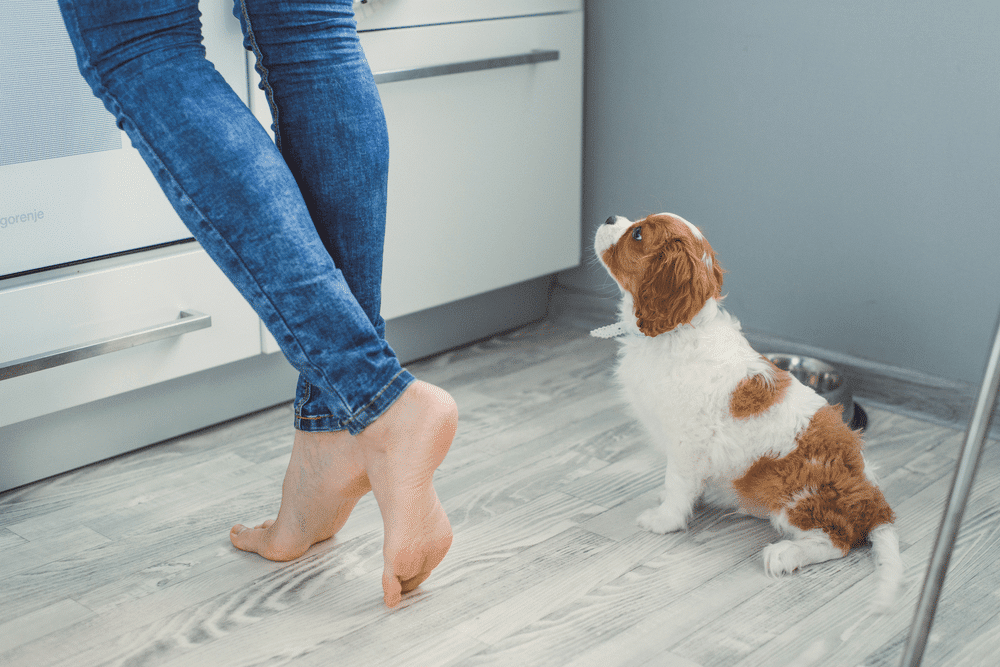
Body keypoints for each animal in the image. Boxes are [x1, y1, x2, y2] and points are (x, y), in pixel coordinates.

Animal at [592, 213, 908, 612]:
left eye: (636, 234)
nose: (609, 217)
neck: (678, 331)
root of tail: (874, 500)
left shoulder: (686, 442)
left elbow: (677, 483)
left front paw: (664, 519)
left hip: (793, 489)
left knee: (838, 540)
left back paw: (785, 554)